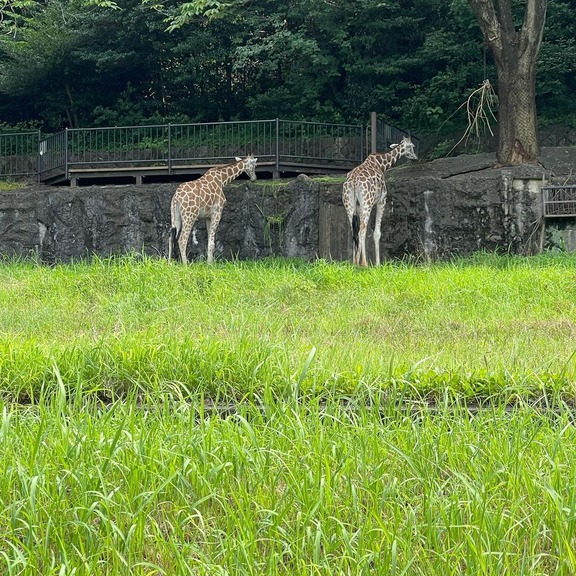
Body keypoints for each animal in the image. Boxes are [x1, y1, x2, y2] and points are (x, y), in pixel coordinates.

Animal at [342, 136, 418, 266]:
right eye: (412, 146)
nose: (415, 157)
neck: (381, 164)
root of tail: (354, 181)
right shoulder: (381, 200)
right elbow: (377, 233)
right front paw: (377, 263)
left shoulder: (359, 205)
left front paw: (357, 262)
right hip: (366, 202)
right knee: (362, 229)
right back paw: (365, 264)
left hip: (349, 203)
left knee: (354, 230)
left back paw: (354, 263)